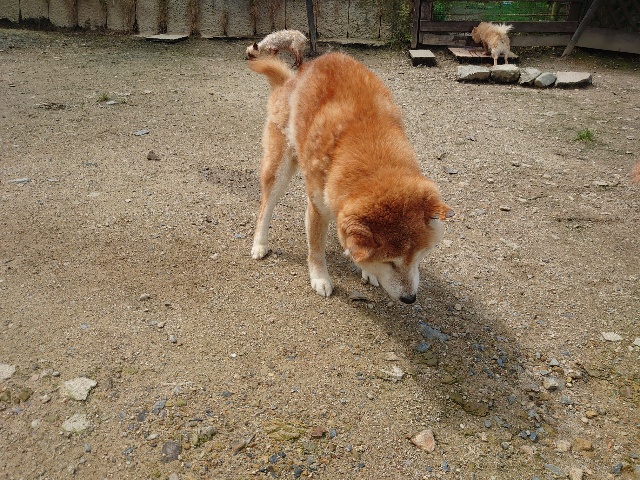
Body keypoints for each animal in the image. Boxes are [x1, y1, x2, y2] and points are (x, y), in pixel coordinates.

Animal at [247, 53, 454, 304]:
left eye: (420, 254)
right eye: (389, 262)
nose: (410, 298)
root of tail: (290, 80)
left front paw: (367, 272)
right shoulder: (317, 207)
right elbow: (316, 249)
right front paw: (320, 278)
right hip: (279, 168)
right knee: (265, 208)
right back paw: (260, 243)